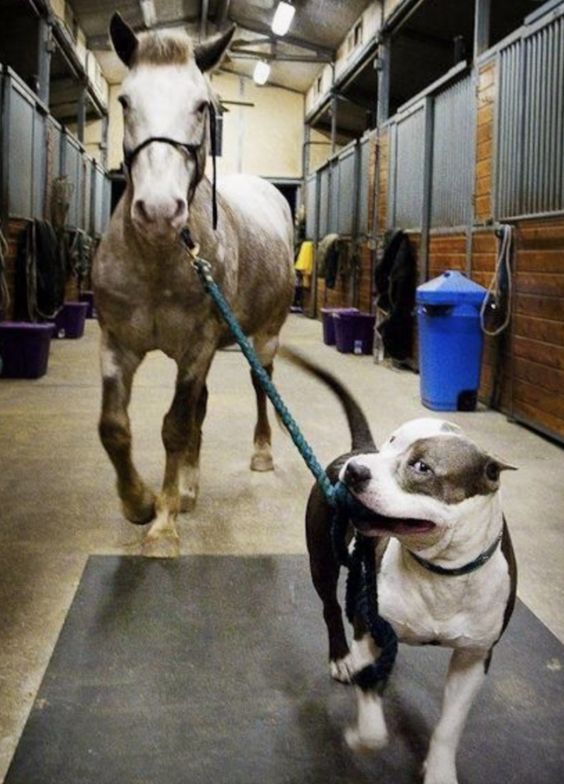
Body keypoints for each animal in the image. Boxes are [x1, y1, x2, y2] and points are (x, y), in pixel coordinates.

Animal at [91, 13, 296, 556]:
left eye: (202, 106)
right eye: (125, 101)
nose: (160, 212)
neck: (159, 258)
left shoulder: (199, 346)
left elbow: (175, 427)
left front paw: (163, 526)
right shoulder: (116, 343)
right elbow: (115, 428)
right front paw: (141, 502)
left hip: (263, 338)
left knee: (260, 386)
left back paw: (260, 454)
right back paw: (187, 487)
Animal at [290, 354, 516, 784]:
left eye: (422, 467)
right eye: (389, 444)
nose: (355, 471)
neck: (440, 572)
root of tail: (354, 448)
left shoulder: (474, 657)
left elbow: (449, 726)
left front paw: (439, 770)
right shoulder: (368, 628)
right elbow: (372, 718)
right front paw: (362, 737)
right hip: (322, 561)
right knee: (330, 608)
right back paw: (340, 658)